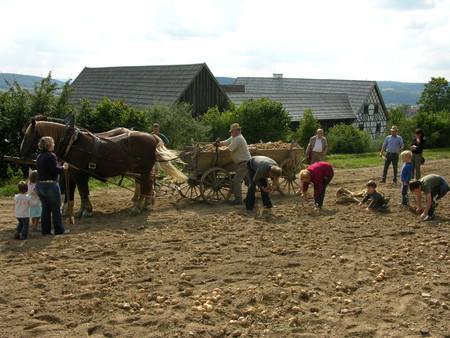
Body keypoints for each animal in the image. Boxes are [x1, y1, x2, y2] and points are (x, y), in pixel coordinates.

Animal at [20, 119, 186, 217]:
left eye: (29, 134)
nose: (22, 151)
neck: (72, 143)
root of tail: (152, 137)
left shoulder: (78, 172)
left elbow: (82, 191)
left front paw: (86, 210)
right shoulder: (71, 172)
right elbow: (74, 191)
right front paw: (76, 209)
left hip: (144, 169)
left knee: (145, 185)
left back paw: (138, 207)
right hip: (139, 169)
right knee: (147, 185)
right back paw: (145, 203)